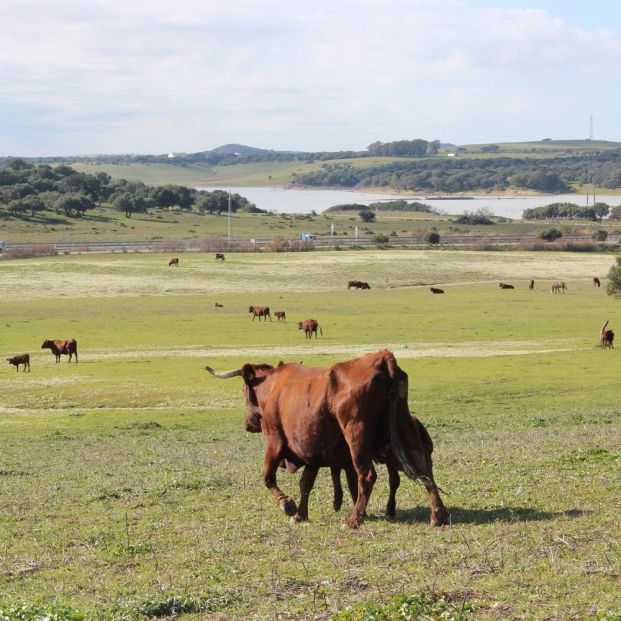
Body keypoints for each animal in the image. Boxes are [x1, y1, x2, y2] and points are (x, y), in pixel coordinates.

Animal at [206, 348, 448, 528]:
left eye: (243, 391)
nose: (248, 425)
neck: (273, 386)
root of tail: (380, 358)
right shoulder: (312, 451)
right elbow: (305, 483)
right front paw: (300, 514)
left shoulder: (275, 442)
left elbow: (267, 477)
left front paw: (287, 505)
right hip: (404, 425)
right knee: (424, 469)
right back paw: (438, 514)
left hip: (356, 435)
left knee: (367, 476)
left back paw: (353, 520)